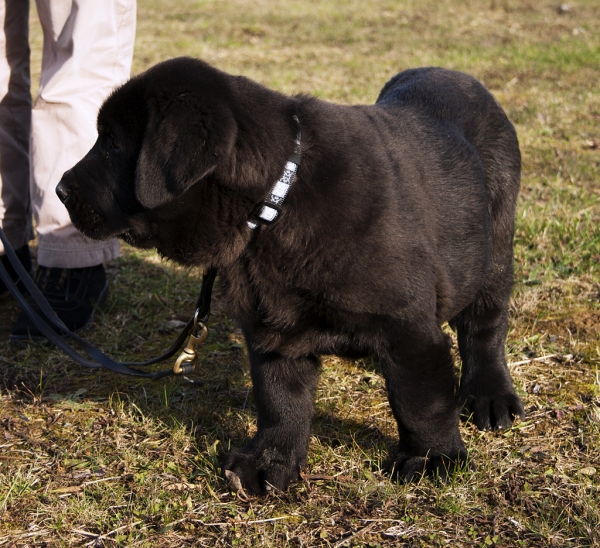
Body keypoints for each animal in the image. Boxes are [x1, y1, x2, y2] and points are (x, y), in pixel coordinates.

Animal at [57, 57, 524, 494]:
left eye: (112, 144)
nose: (60, 189)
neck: (275, 204)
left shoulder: (409, 327)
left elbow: (421, 399)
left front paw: (432, 459)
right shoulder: (273, 327)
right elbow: (280, 399)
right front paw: (269, 462)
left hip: (495, 245)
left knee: (484, 324)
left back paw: (490, 395)